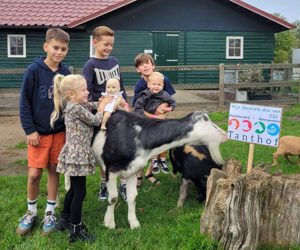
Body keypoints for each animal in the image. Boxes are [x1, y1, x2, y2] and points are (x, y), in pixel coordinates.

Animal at [92, 110, 226, 229]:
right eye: (206, 120)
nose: (224, 134)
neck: (136, 135)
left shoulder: (133, 169)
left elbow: (133, 196)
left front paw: (134, 224)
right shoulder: (110, 169)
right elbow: (113, 198)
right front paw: (109, 223)